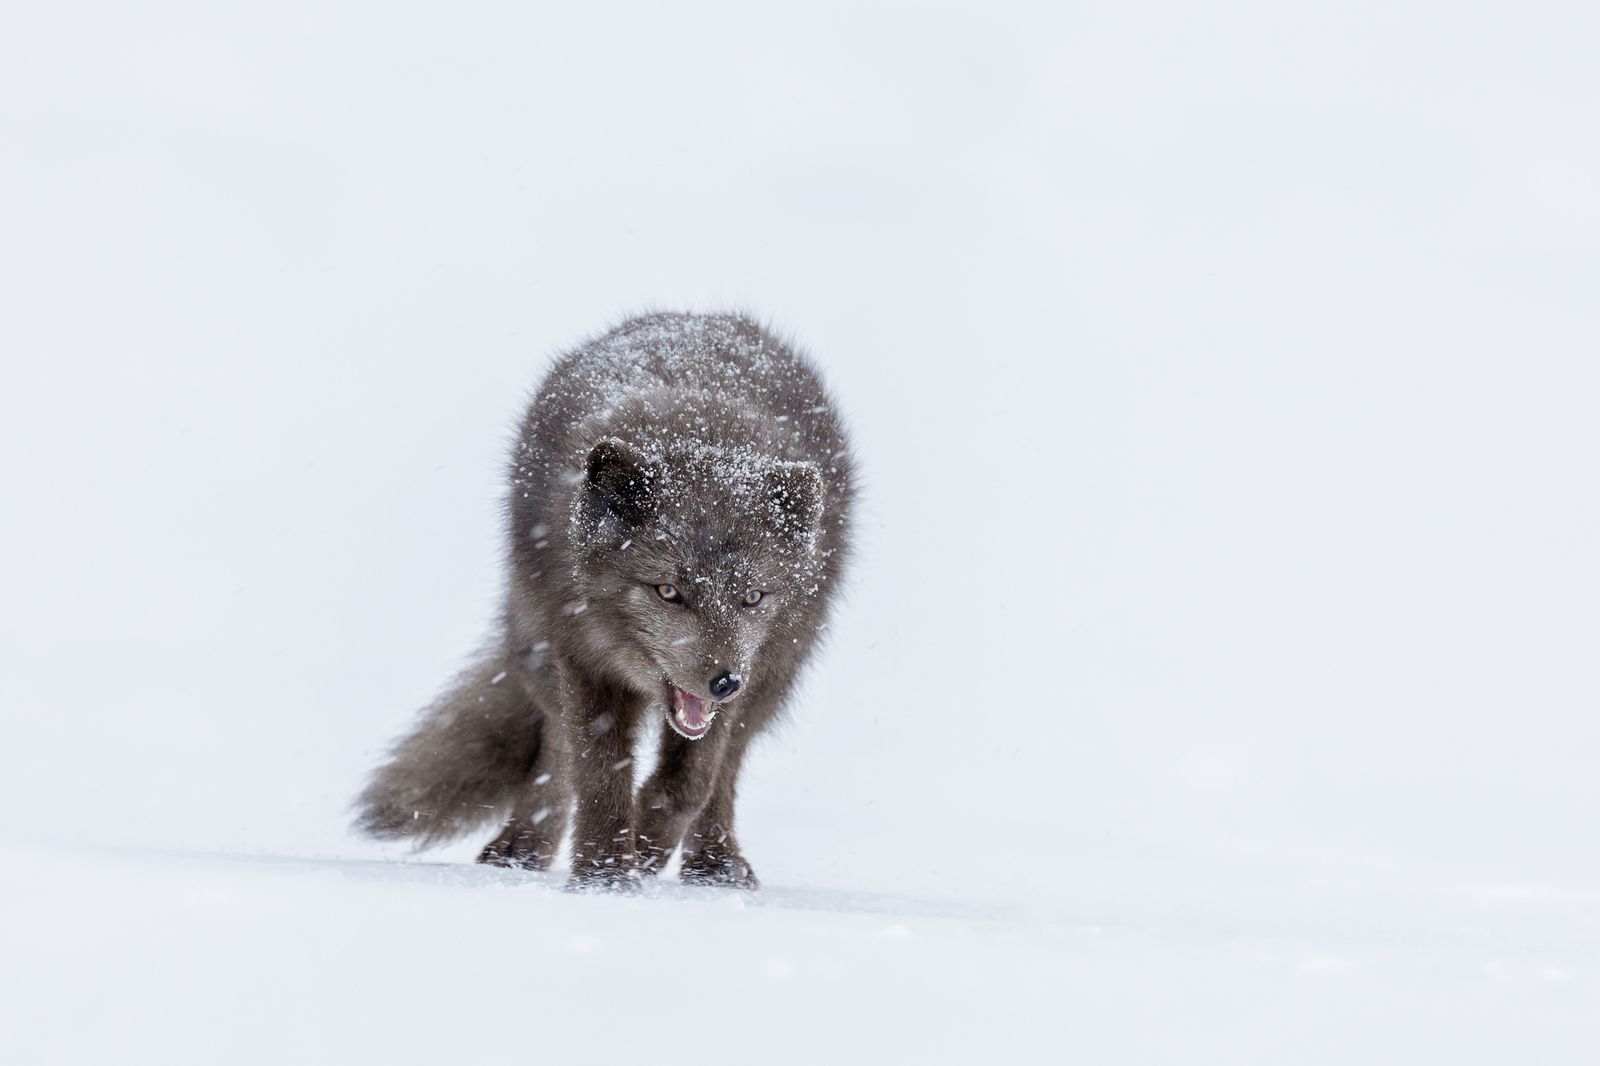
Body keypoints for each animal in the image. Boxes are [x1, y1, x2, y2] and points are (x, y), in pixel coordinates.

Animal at [354, 311, 855, 890]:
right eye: (667, 591)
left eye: (752, 596)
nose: (724, 681)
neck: (700, 426)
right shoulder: (582, 658)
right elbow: (596, 774)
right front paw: (606, 878)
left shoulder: (745, 679)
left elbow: (689, 784)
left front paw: (647, 848)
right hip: (540, 648)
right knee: (556, 748)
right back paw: (522, 851)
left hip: (775, 675)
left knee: (723, 771)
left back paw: (716, 868)